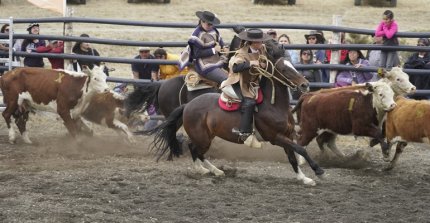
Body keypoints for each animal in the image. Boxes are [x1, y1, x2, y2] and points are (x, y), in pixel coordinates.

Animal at [142, 41, 326, 186]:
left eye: (292, 65)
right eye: (283, 69)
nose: (305, 85)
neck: (273, 105)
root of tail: (188, 105)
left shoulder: (287, 135)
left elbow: (293, 156)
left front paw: (304, 178)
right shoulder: (275, 137)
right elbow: (300, 149)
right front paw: (318, 170)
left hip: (207, 135)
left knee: (195, 150)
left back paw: (214, 171)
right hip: (202, 137)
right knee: (194, 149)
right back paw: (206, 170)